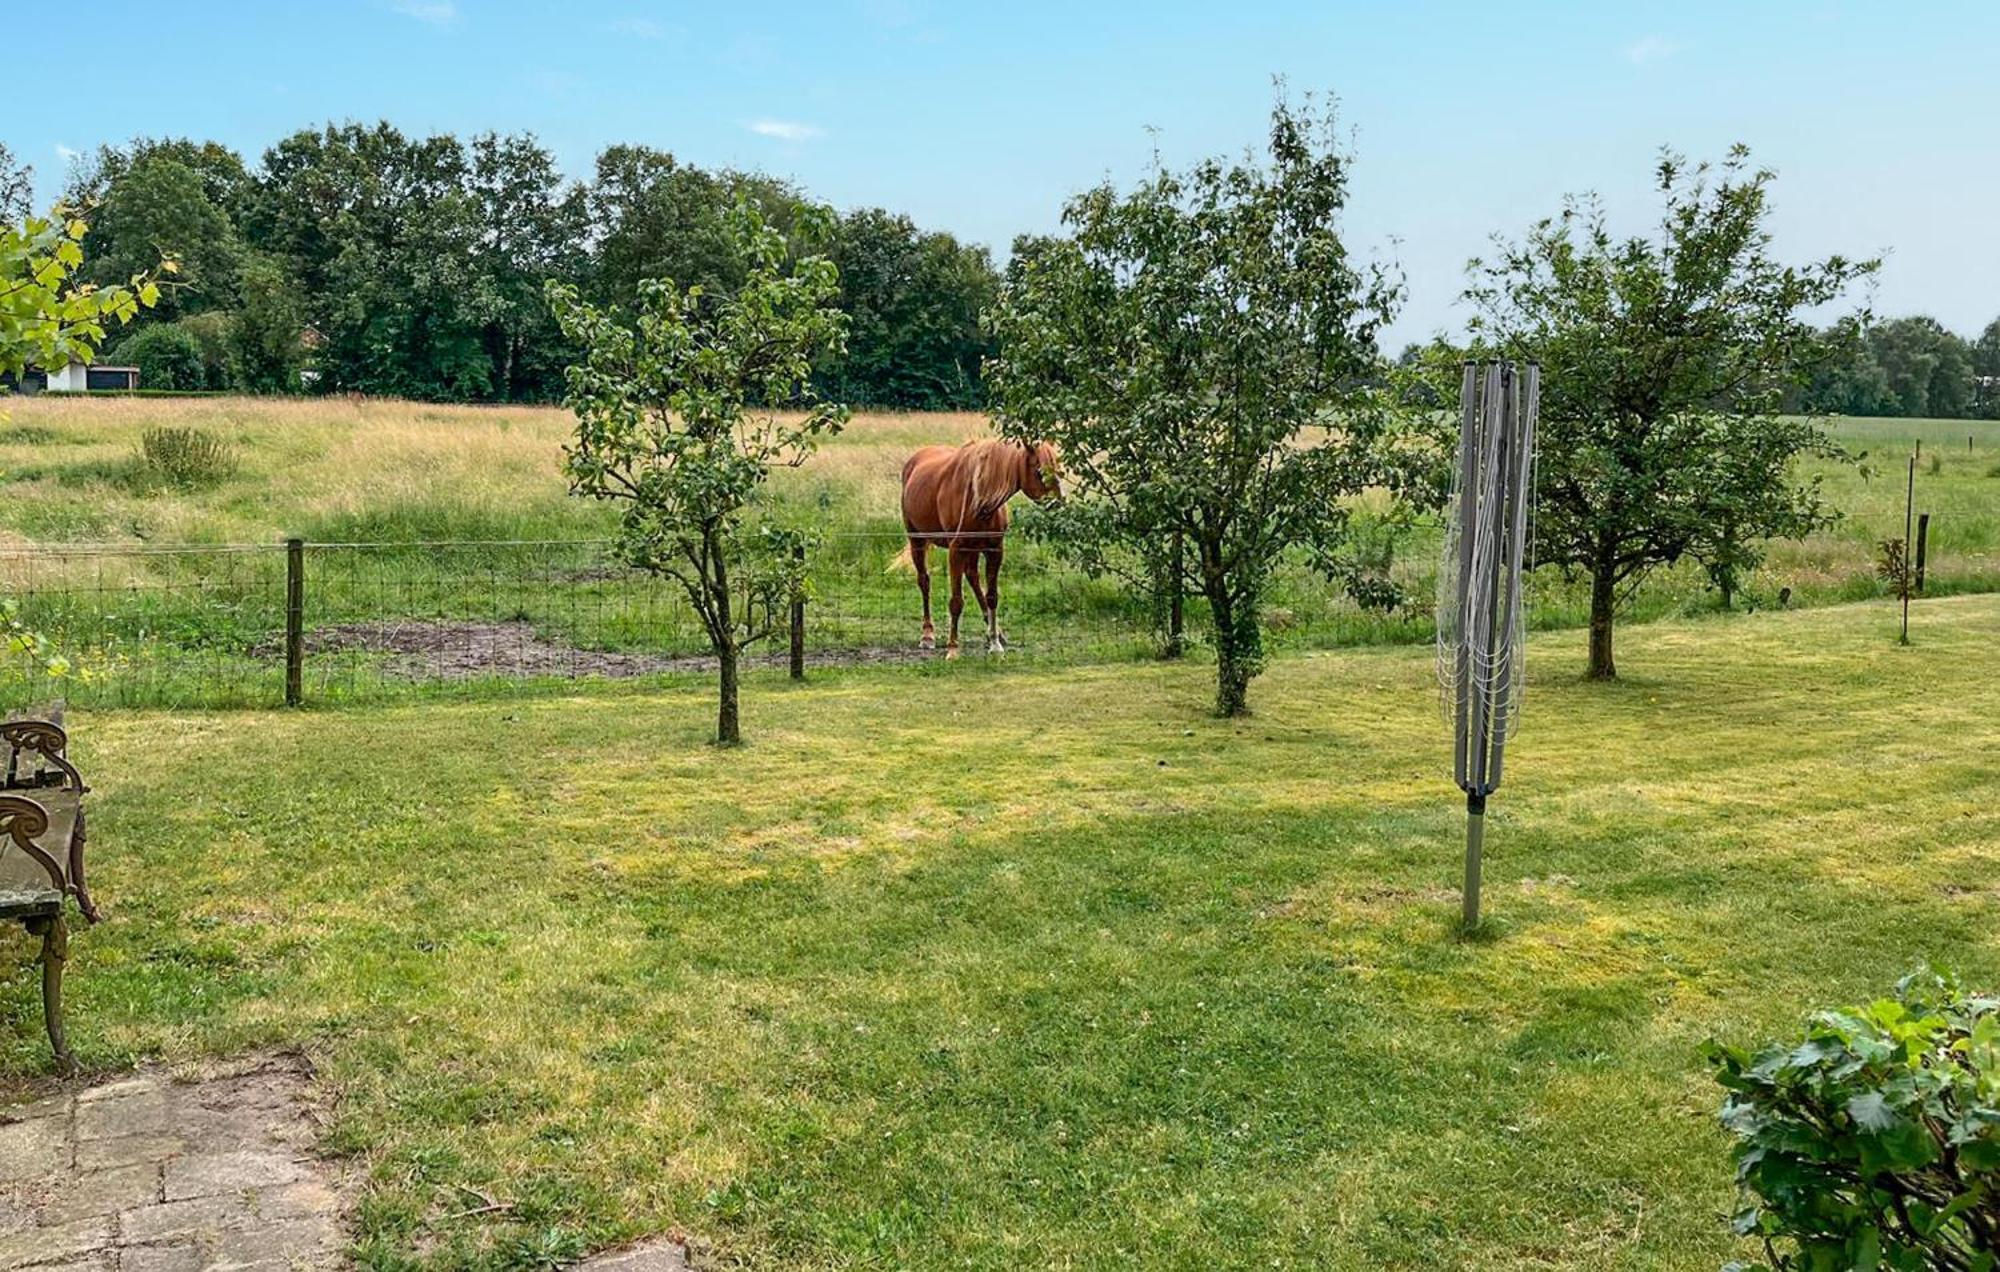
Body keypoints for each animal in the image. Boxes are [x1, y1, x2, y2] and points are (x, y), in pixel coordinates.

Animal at [904, 438, 1064, 656]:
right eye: (1040, 472)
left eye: (1058, 470)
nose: (1059, 504)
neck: (979, 498)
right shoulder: (956, 550)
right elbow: (956, 601)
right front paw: (953, 649)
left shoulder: (994, 551)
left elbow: (992, 596)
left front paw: (995, 643)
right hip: (917, 541)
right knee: (924, 581)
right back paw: (927, 635)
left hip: (973, 549)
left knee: (972, 577)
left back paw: (995, 632)